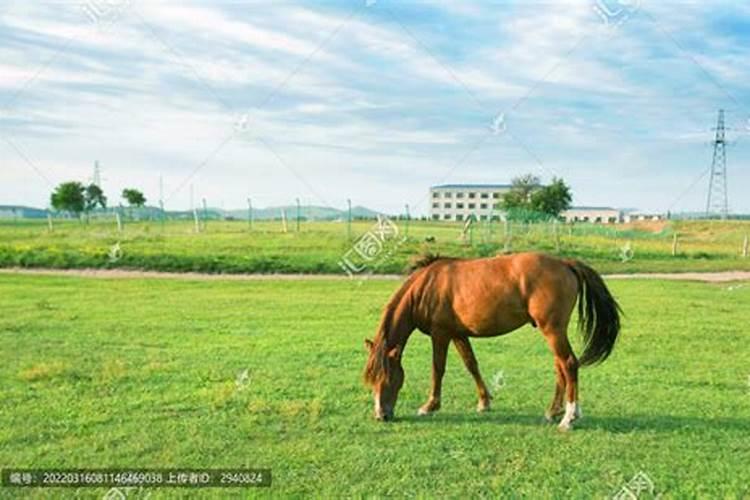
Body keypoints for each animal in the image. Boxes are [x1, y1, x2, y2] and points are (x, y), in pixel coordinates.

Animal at [364, 252, 624, 432]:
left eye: (387, 377)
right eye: (371, 380)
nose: (381, 415)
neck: (427, 286)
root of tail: (564, 263)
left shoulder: (441, 334)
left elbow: (438, 369)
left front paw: (429, 406)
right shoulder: (458, 334)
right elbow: (471, 364)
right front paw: (484, 402)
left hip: (553, 330)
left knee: (569, 363)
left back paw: (569, 417)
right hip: (553, 331)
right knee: (561, 366)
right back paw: (554, 411)